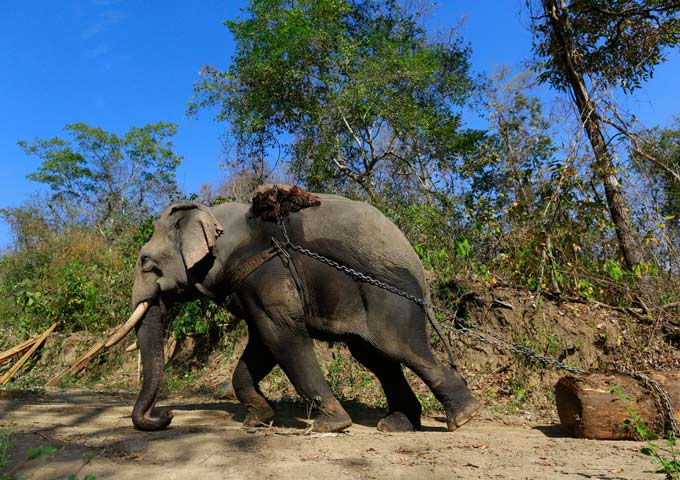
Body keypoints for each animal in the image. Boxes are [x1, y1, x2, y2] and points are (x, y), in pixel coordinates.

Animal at [117, 188, 478, 436]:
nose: (166, 416)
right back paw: (398, 425)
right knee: (377, 358)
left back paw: (463, 416)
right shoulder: (250, 283)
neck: (213, 215)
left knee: (400, 347)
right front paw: (258, 419)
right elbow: (261, 343)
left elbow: (281, 334)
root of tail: (420, 269)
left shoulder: (267, 268)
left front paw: (331, 425)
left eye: (145, 263)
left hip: (389, 296)